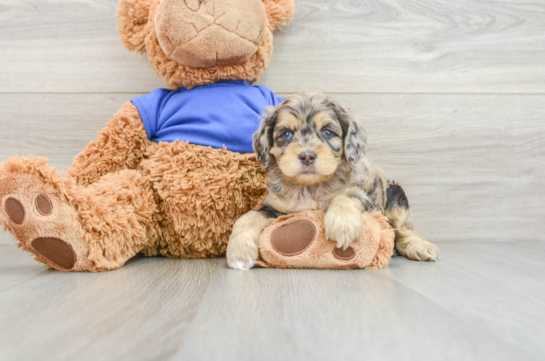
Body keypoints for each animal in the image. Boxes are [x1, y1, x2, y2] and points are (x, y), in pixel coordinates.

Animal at [227, 91, 440, 268]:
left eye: (327, 132)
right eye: (286, 134)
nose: (307, 156)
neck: (310, 187)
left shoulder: (364, 194)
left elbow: (345, 196)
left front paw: (342, 225)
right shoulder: (274, 208)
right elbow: (247, 217)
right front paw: (238, 252)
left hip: (395, 196)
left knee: (404, 230)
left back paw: (421, 247)